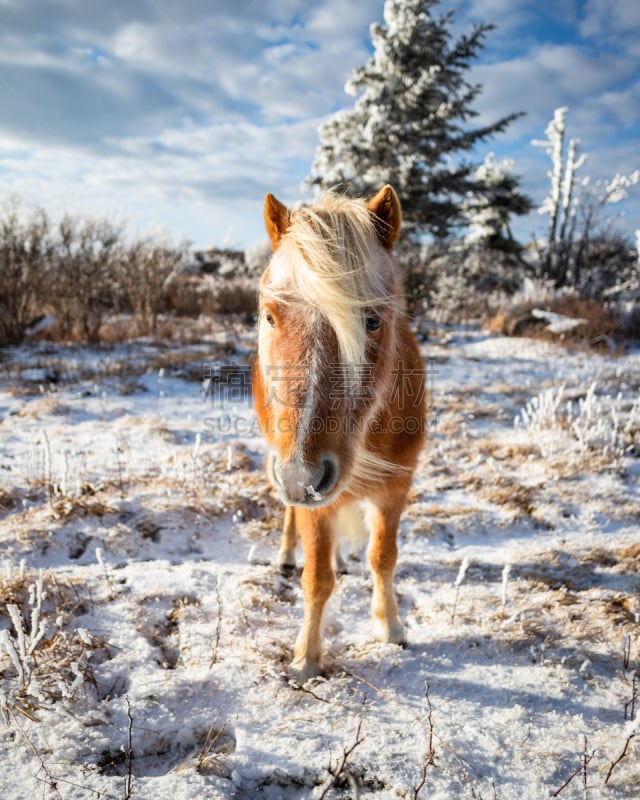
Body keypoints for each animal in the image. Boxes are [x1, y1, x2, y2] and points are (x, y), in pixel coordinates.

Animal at [254, 184, 424, 680]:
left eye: (373, 320)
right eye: (270, 316)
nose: (301, 478)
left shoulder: (396, 488)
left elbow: (383, 557)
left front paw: (390, 628)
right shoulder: (310, 498)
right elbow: (316, 579)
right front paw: (306, 658)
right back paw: (287, 554)